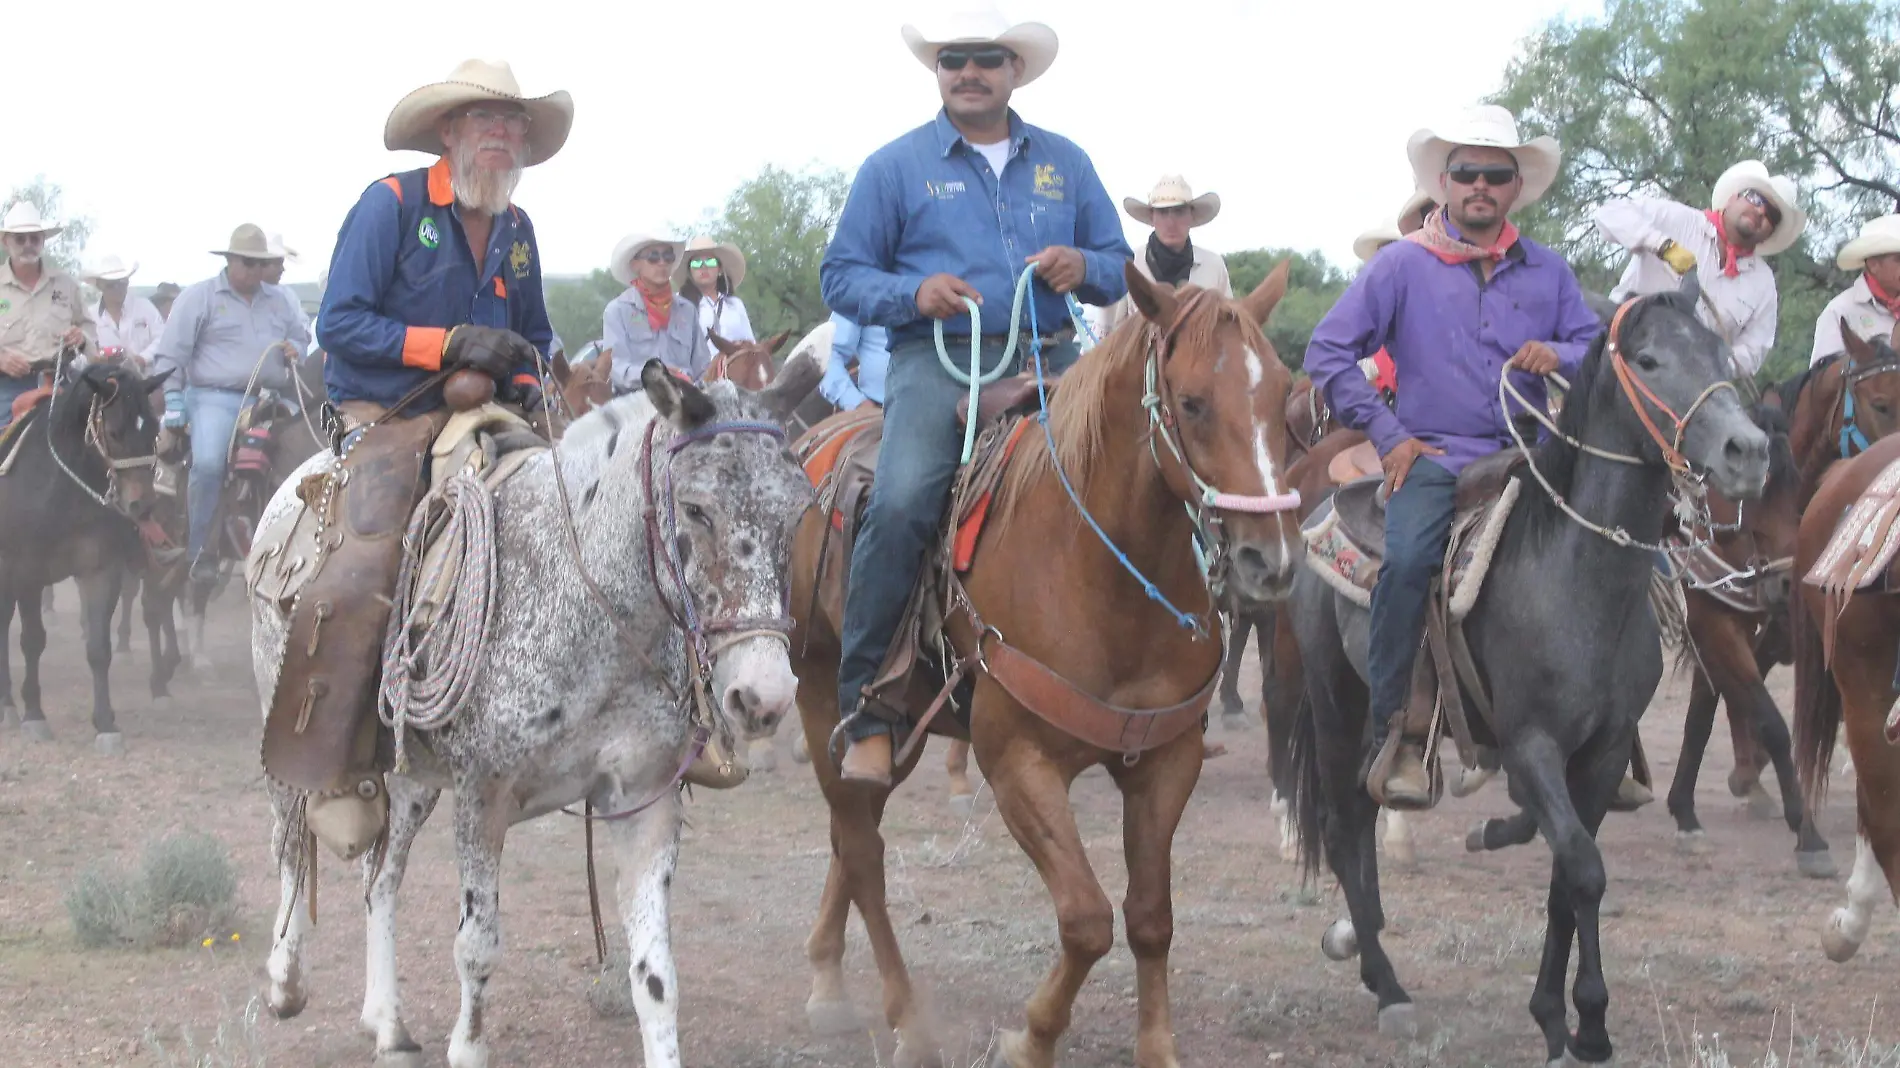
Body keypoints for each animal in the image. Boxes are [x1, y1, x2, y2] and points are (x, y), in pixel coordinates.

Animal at [254, 357, 817, 1064]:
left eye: (798, 511)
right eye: (695, 508)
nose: (763, 695)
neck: (587, 609)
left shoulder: (646, 799)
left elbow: (655, 975)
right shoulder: (483, 795)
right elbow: (476, 948)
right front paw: (468, 1048)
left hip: (411, 780)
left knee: (379, 878)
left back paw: (387, 1022)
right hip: (288, 746)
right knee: (289, 845)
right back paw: (284, 978)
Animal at [786, 260, 1307, 1064]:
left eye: (1282, 396)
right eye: (1191, 402)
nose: (1269, 560)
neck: (1101, 574)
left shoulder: (1166, 761)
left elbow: (1150, 915)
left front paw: (1156, 1046)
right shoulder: (1018, 763)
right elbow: (1087, 918)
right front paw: (1030, 1037)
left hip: (900, 725)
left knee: (852, 839)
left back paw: (827, 981)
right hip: (824, 700)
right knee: (864, 855)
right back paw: (907, 1018)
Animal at [1284, 283, 1770, 1064]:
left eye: (1721, 356)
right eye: (1649, 360)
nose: (1747, 451)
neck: (1574, 575)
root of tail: (1324, 510)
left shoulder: (1601, 752)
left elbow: (1566, 877)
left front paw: (1559, 1016)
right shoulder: (1533, 744)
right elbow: (1584, 867)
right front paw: (1588, 1022)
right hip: (1336, 701)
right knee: (1342, 823)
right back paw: (1387, 986)